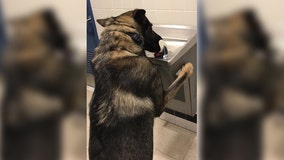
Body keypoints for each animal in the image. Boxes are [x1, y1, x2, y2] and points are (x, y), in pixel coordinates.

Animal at [89, 9, 193, 160]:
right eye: (149, 26)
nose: (160, 38)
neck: (117, 48)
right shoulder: (160, 103)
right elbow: (180, 79)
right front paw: (188, 67)